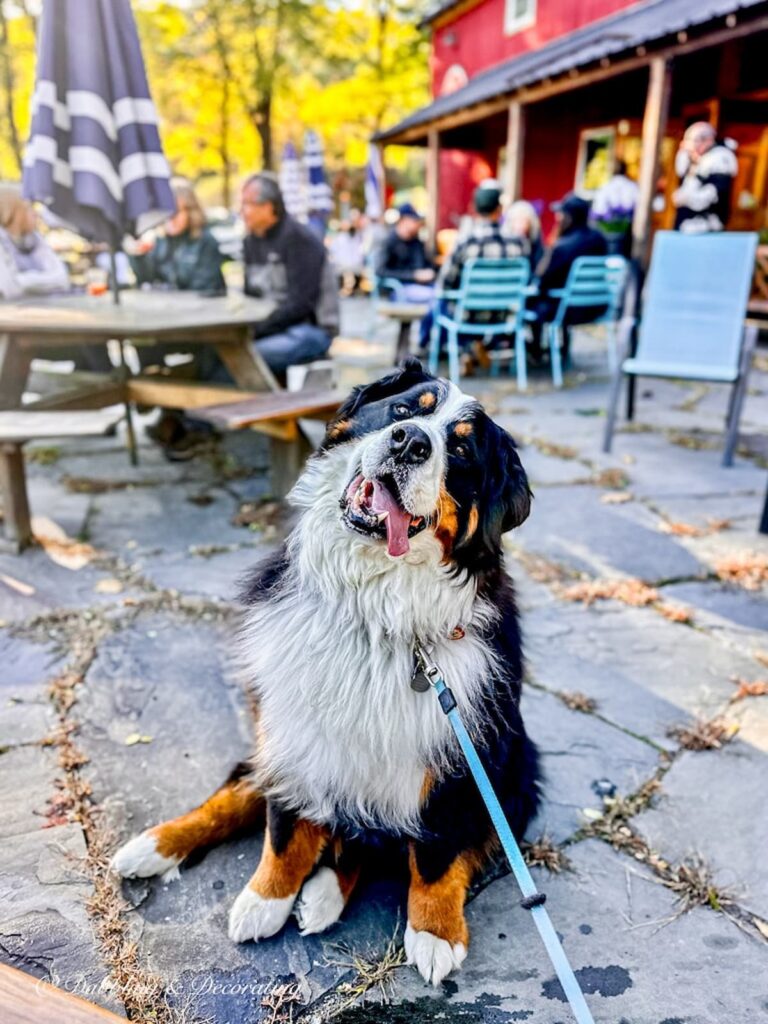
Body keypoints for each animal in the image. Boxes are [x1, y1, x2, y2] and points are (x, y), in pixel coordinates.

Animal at [114, 358, 540, 983]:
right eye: (404, 409)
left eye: (462, 452)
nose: (410, 442)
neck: (373, 608)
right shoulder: (291, 731)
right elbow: (284, 828)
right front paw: (265, 898)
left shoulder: (461, 755)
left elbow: (439, 853)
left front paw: (435, 931)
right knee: (240, 796)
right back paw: (152, 846)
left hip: (518, 768)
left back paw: (324, 894)